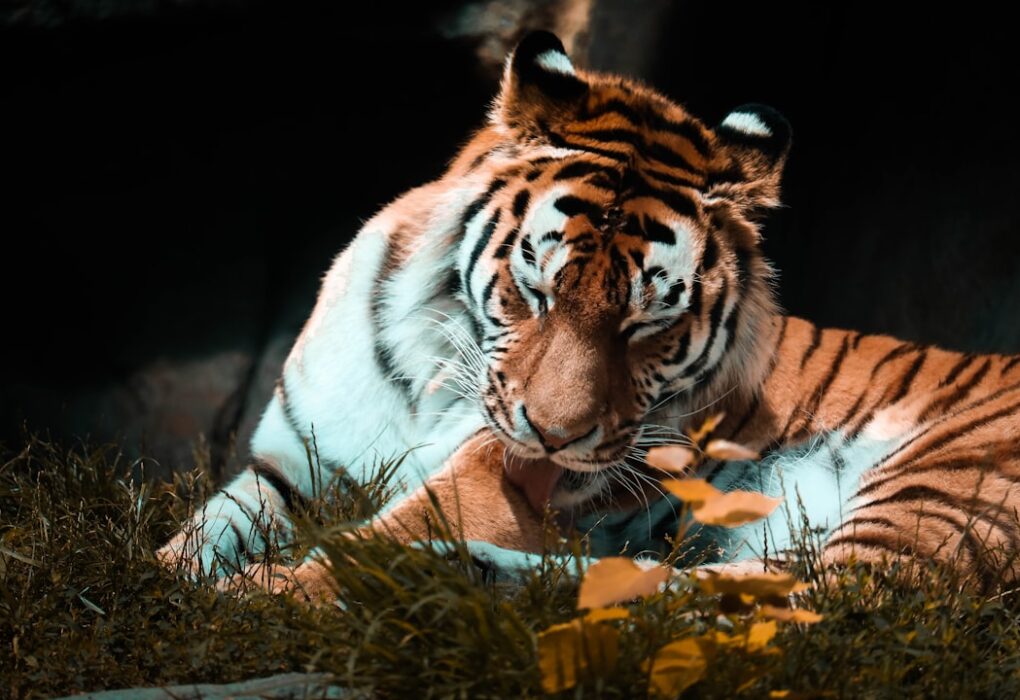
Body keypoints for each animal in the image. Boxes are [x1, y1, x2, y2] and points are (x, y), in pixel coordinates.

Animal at [158, 31, 1020, 596]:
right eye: (534, 289)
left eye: (649, 324)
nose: (553, 438)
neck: (434, 369)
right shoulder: (291, 466)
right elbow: (201, 532)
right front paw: (162, 585)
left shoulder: (493, 475)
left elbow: (377, 540)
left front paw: (257, 599)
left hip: (940, 480)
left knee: (816, 605)